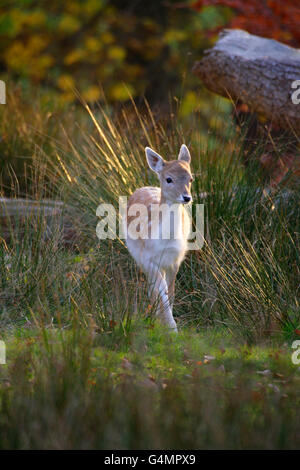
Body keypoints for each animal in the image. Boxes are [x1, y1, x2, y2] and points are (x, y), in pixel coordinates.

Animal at [125, 145, 193, 332]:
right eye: (169, 179)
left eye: (190, 179)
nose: (186, 197)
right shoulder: (147, 258)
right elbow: (161, 290)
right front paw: (171, 327)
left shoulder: (175, 260)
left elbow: (171, 290)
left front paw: (169, 325)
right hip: (138, 257)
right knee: (152, 286)